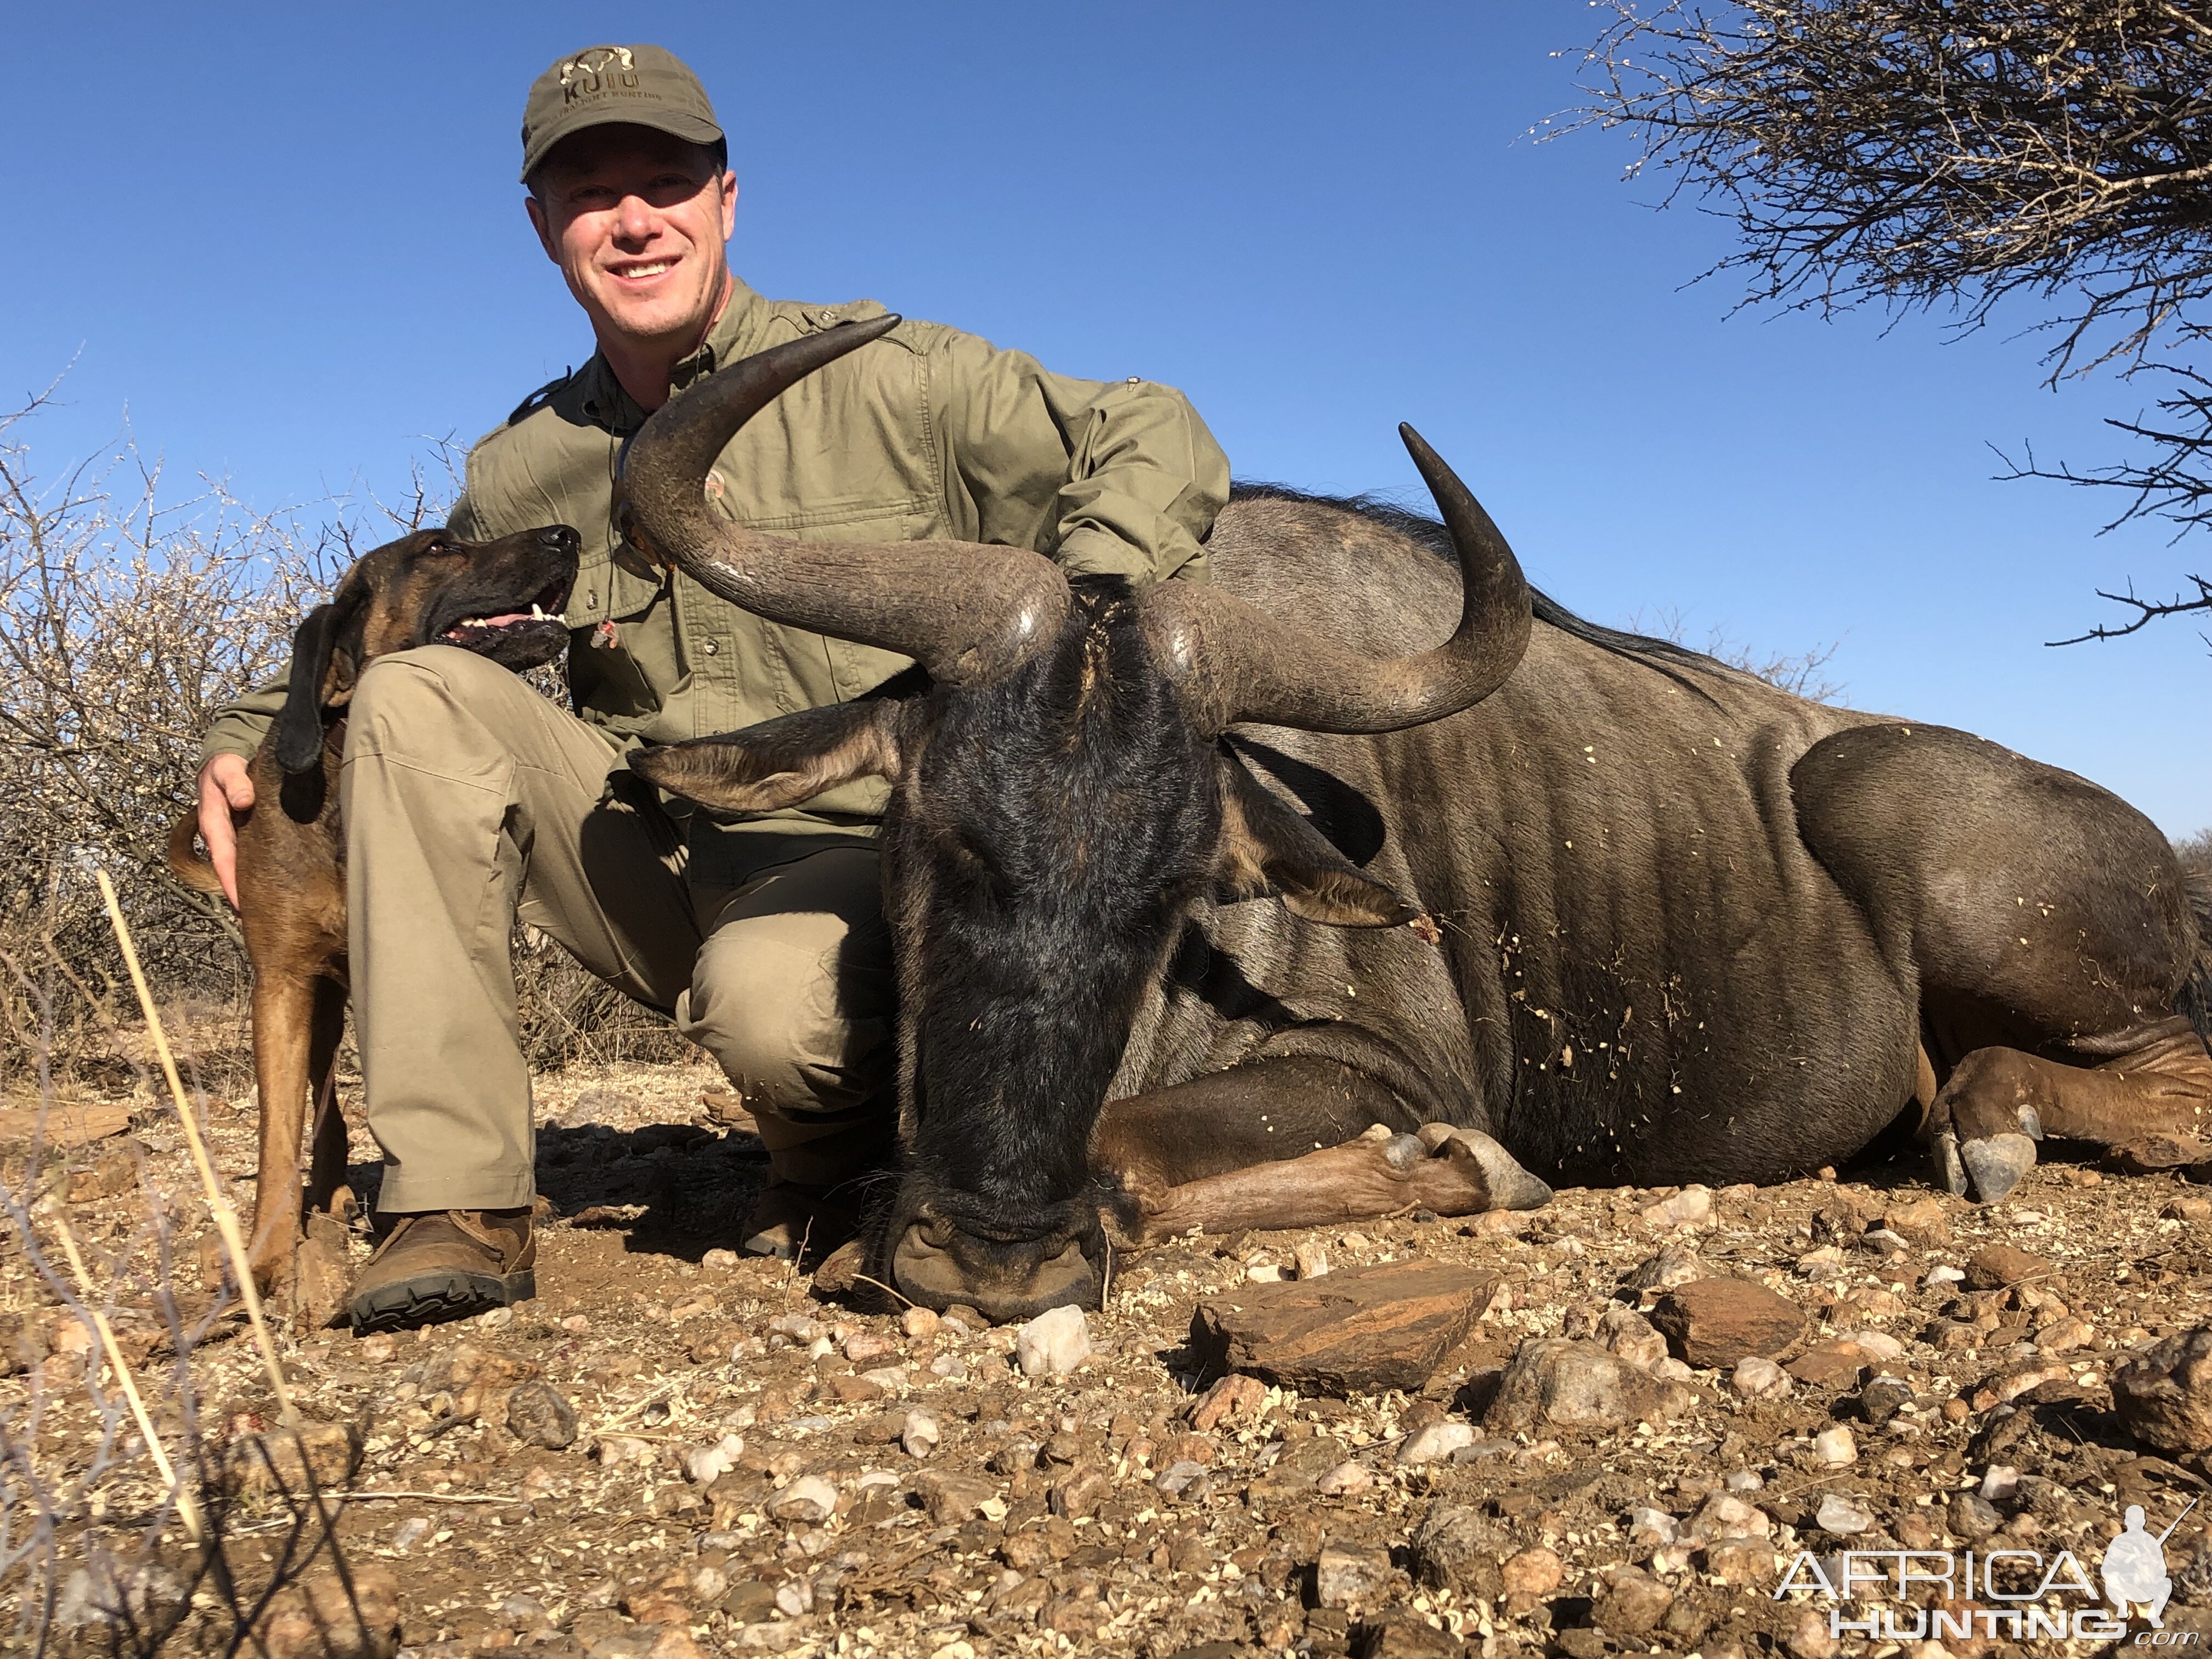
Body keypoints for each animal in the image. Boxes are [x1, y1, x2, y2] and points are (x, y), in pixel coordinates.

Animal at [168, 526, 579, 1309]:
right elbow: (279, 1136)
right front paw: (265, 1258)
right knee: (326, 1115)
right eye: (441, 547)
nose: (568, 535)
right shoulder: (283, 984)